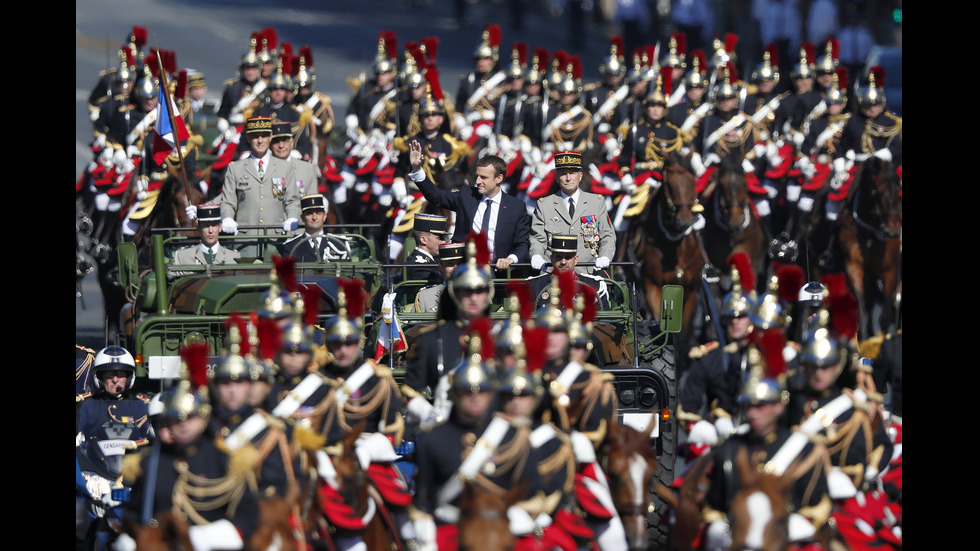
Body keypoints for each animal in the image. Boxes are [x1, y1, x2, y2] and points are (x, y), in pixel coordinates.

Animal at [840, 156, 900, 340]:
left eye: (898, 189)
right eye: (876, 191)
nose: (893, 230)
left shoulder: (891, 271)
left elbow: (886, 315)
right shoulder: (855, 268)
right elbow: (862, 311)